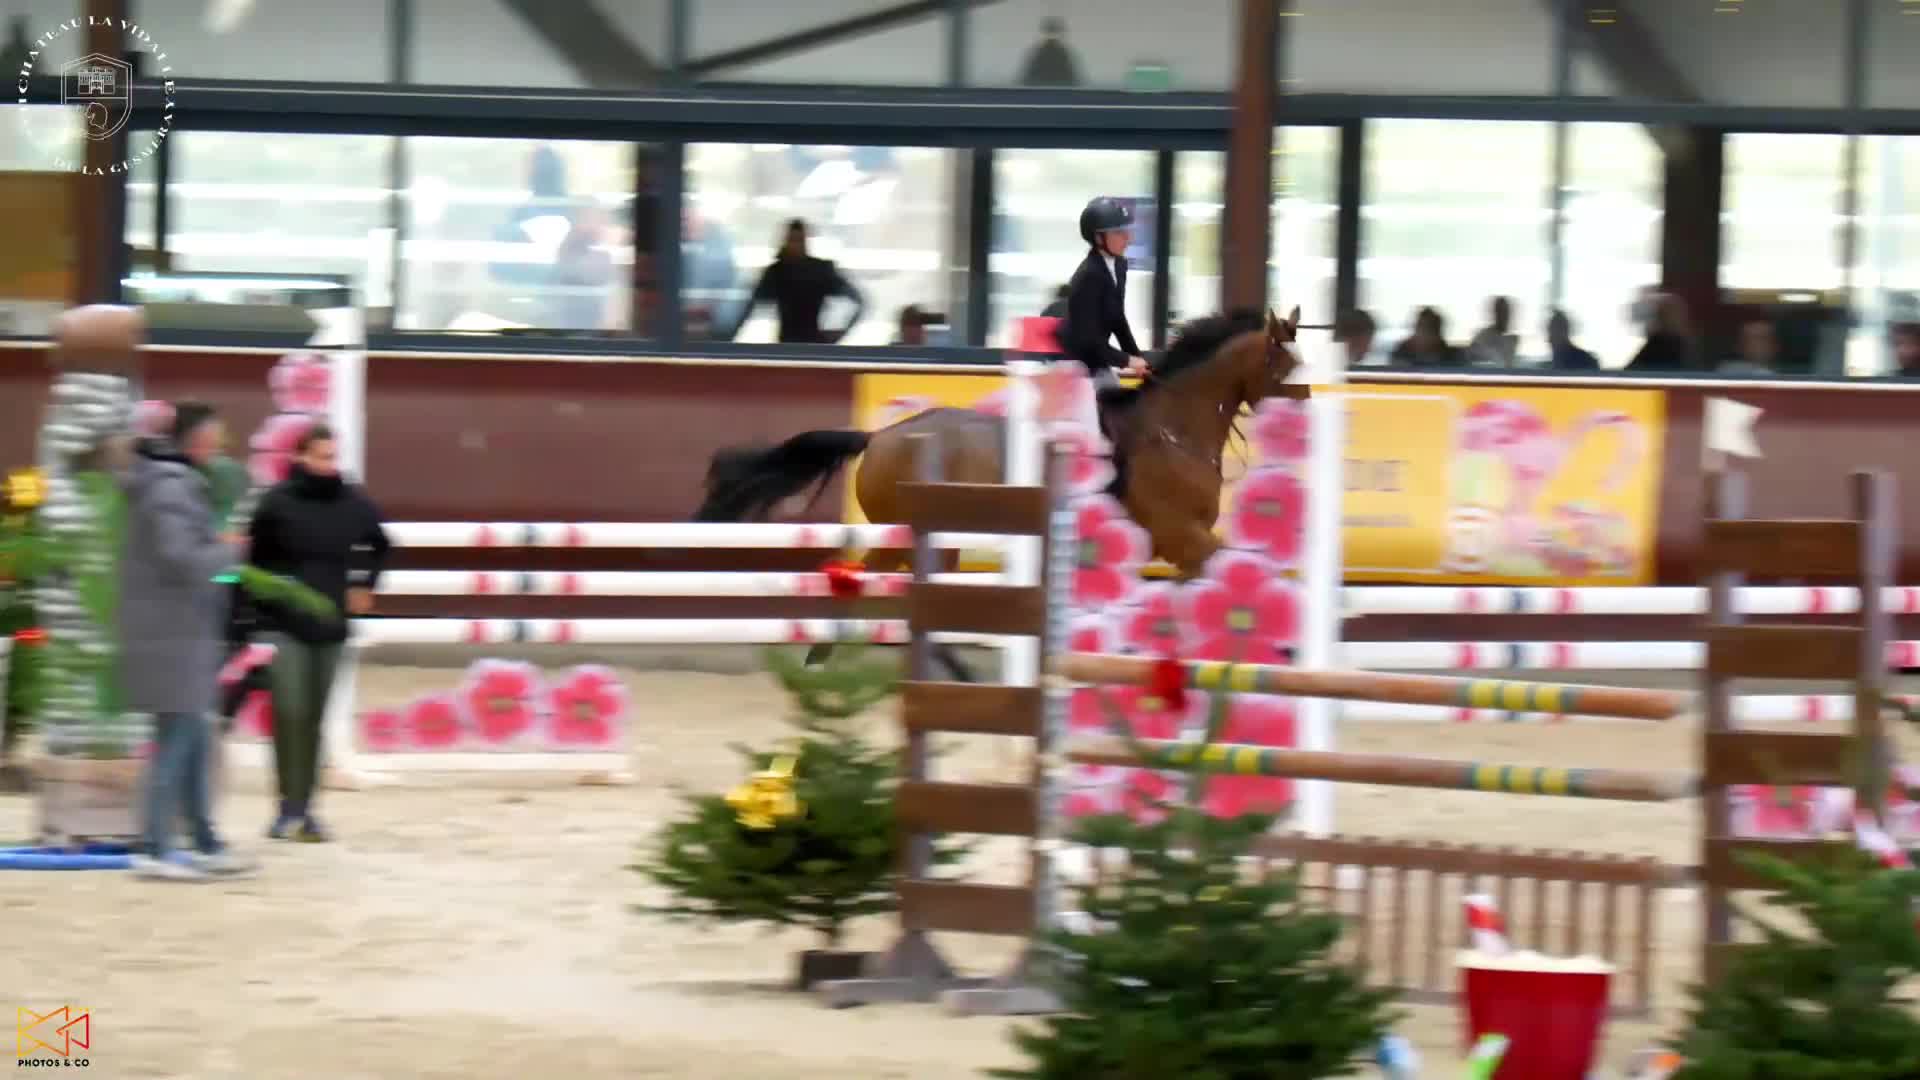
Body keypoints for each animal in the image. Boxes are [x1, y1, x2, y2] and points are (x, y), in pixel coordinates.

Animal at [694, 307, 1307, 674]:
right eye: (1285, 367)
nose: (1299, 422)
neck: (1172, 429)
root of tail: (882, 436)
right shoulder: (1180, 535)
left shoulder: (1179, 544)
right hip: (920, 534)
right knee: (887, 590)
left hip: (926, 538)